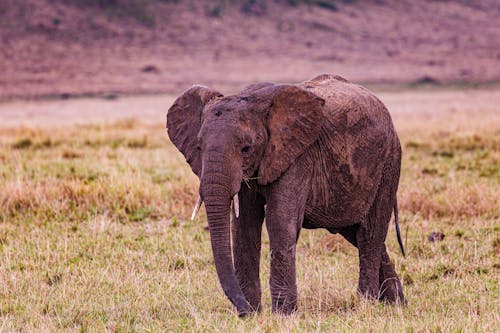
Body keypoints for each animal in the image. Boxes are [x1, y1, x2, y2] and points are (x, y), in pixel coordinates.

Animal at [166, 74, 404, 316]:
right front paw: (253, 313)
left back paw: (366, 304)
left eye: (246, 148)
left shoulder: (297, 156)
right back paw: (396, 303)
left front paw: (282, 314)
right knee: (357, 232)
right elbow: (244, 226)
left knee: (369, 233)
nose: (243, 311)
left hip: (389, 163)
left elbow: (280, 220)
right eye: (198, 147)